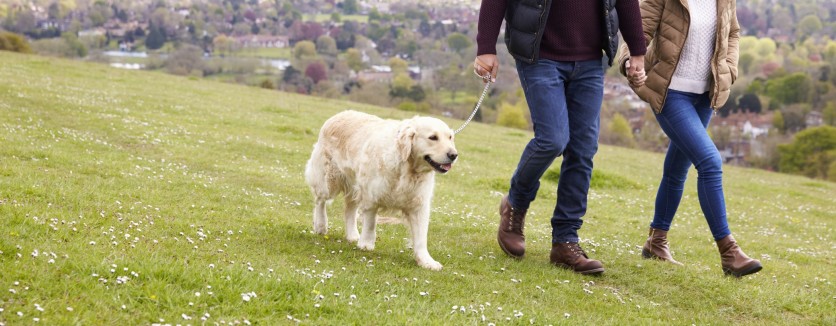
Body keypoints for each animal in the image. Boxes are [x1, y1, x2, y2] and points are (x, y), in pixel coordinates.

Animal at [304, 109, 458, 270]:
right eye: (433, 137)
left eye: (450, 137)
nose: (453, 155)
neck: (407, 168)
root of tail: (339, 114)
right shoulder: (371, 196)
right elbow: (371, 223)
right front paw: (366, 244)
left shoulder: (419, 205)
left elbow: (421, 236)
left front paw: (426, 261)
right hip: (328, 180)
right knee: (320, 201)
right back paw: (321, 225)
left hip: (354, 185)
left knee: (349, 209)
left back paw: (352, 235)